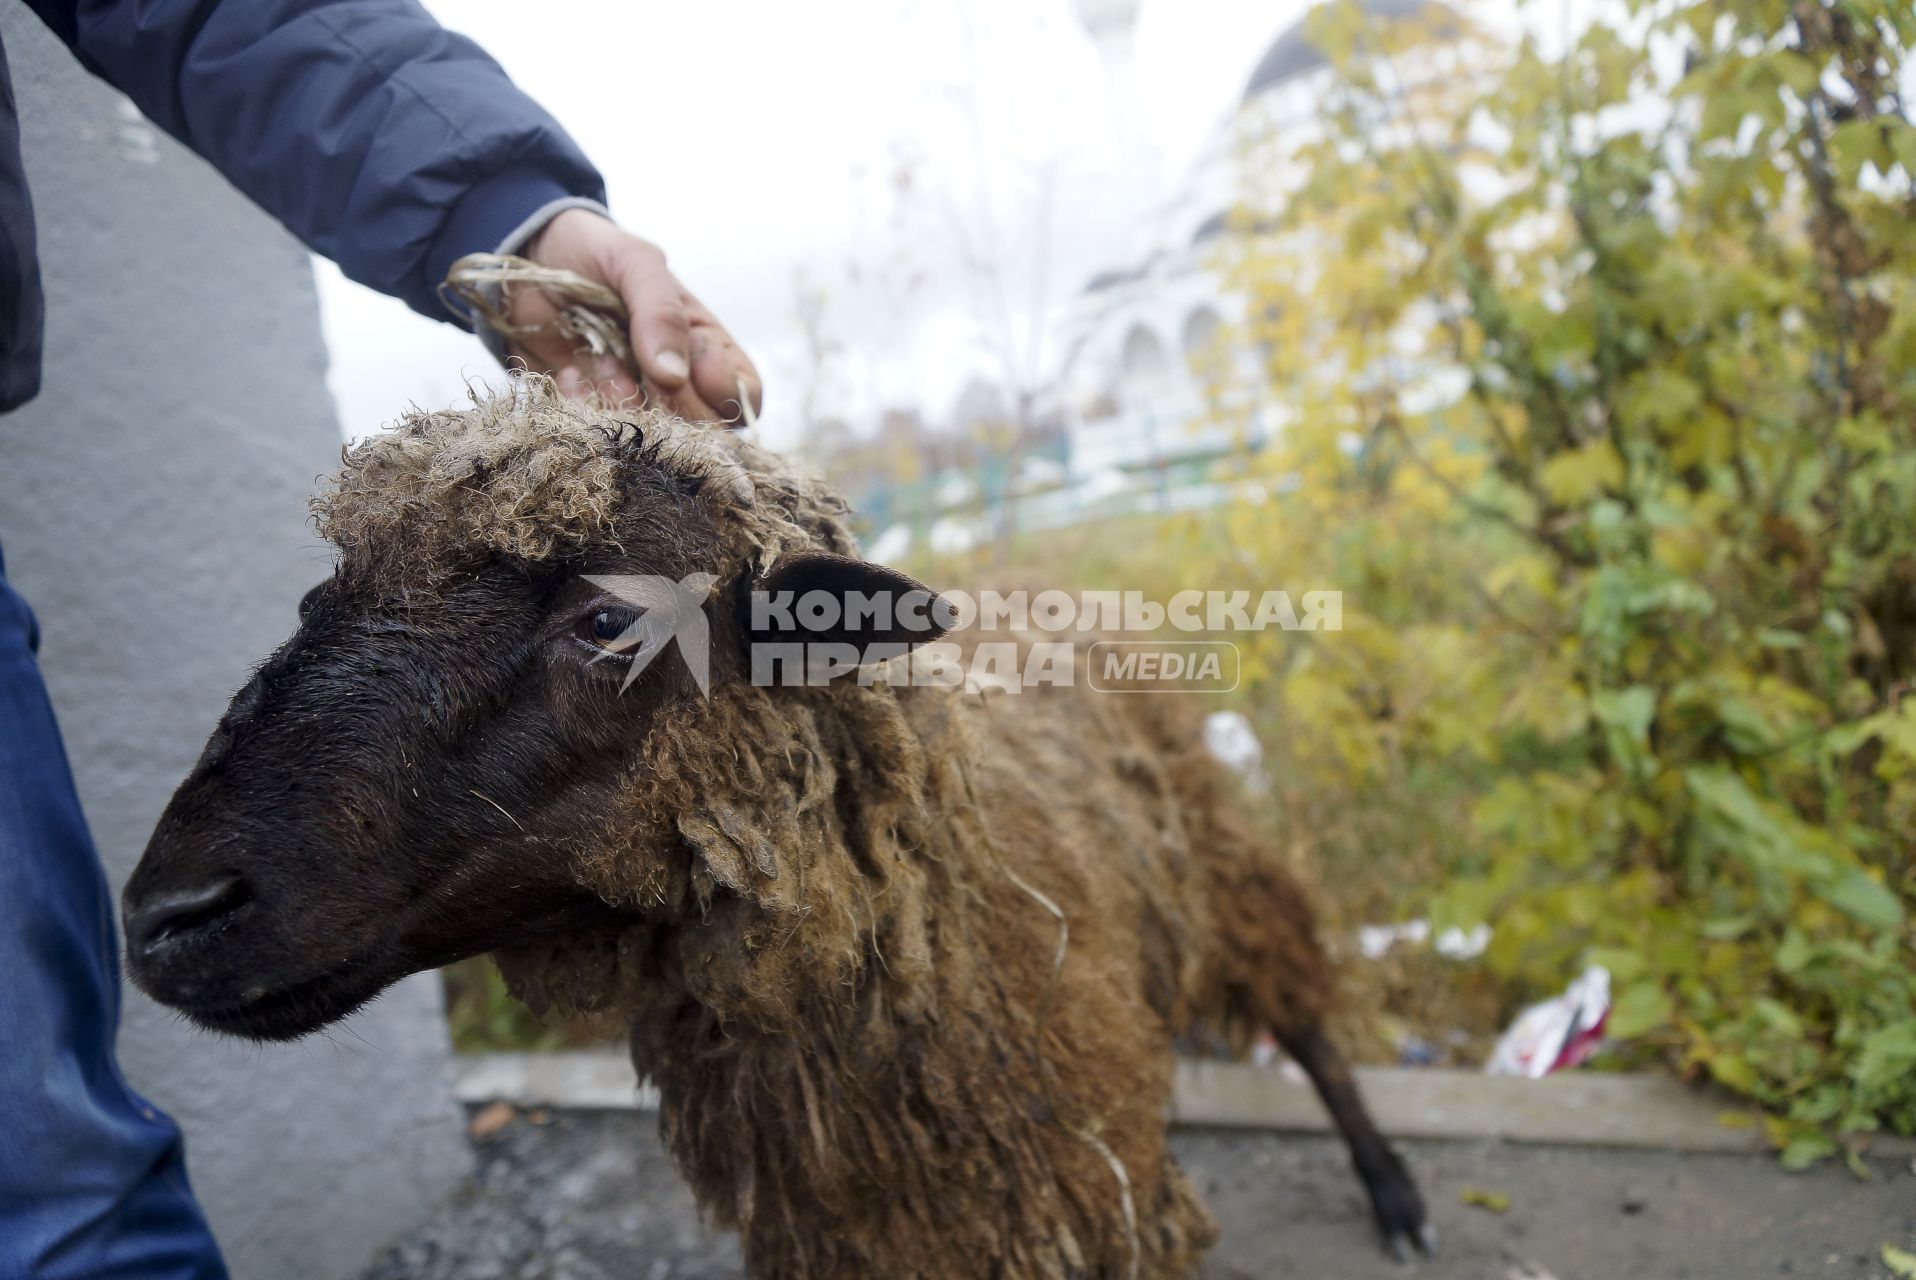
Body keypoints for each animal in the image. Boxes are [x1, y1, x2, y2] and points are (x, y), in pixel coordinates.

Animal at [123, 379, 1425, 1280]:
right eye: (313, 601)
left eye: (610, 619)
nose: (161, 918)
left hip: (1208, 837)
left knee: (1302, 1008)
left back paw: (1393, 1192)